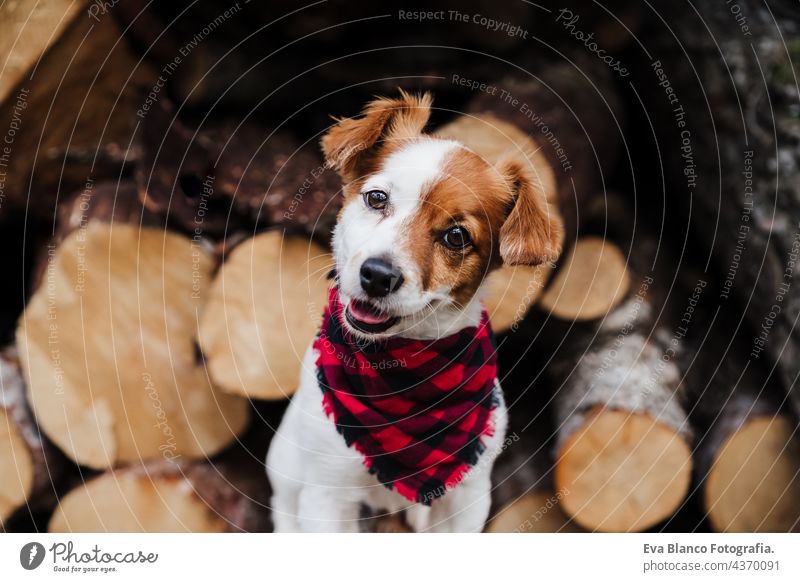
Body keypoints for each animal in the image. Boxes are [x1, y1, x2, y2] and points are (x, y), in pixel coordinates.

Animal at [266, 91, 560, 532]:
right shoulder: (326, 493)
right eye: (376, 198)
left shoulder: (467, 498)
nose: (377, 275)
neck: (398, 372)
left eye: (456, 236)